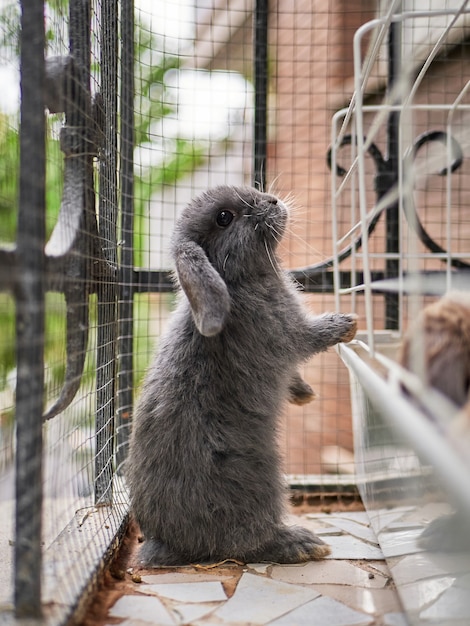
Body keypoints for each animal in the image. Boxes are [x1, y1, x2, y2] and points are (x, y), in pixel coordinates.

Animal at [126, 183, 358, 564]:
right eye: (224, 217)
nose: (273, 201)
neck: (236, 280)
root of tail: (166, 543)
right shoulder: (288, 332)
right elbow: (313, 337)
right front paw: (347, 324)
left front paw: (305, 395)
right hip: (261, 483)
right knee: (248, 541)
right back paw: (303, 544)